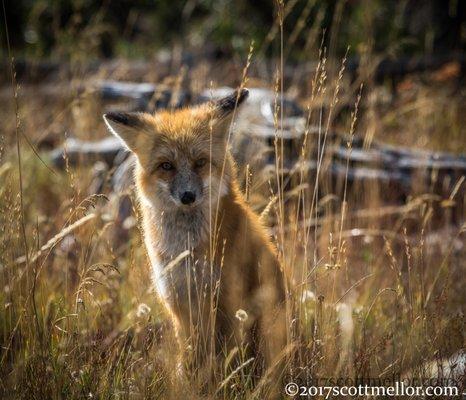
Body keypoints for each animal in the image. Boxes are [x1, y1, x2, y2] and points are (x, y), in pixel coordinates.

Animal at [103, 88, 288, 388]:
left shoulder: (227, 299)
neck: (188, 251)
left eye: (200, 162)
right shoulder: (179, 301)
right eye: (167, 166)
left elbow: (227, 354)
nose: (187, 196)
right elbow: (191, 354)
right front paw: (189, 382)